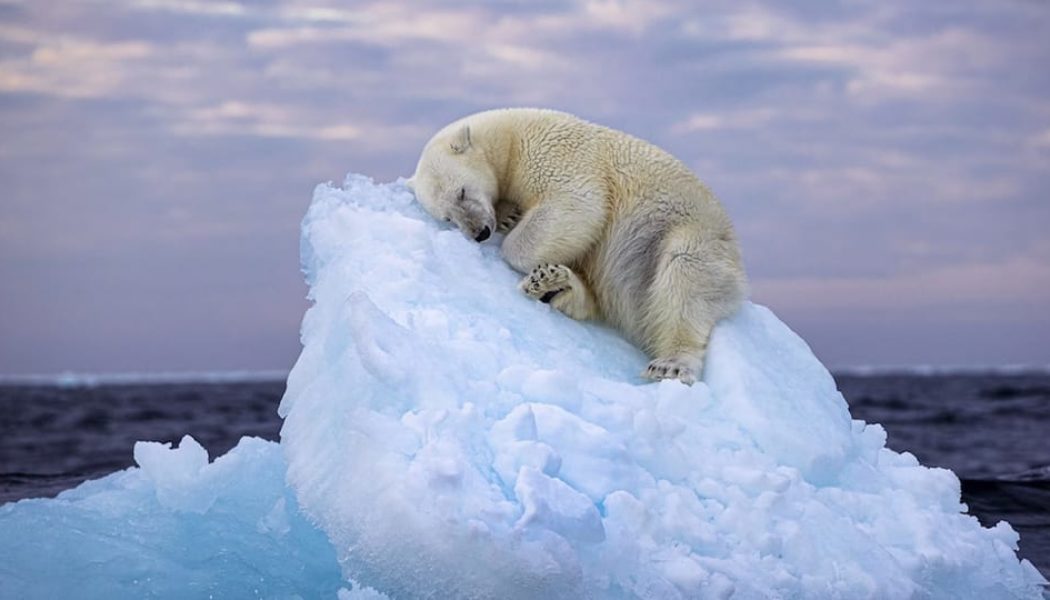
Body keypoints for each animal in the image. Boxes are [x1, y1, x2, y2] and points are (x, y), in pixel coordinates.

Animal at [409, 109, 747, 384]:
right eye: (448, 217)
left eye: (462, 192)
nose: (479, 232)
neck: (509, 138)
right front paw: (509, 216)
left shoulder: (554, 154)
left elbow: (577, 204)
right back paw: (554, 285)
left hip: (689, 234)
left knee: (684, 276)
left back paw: (671, 364)